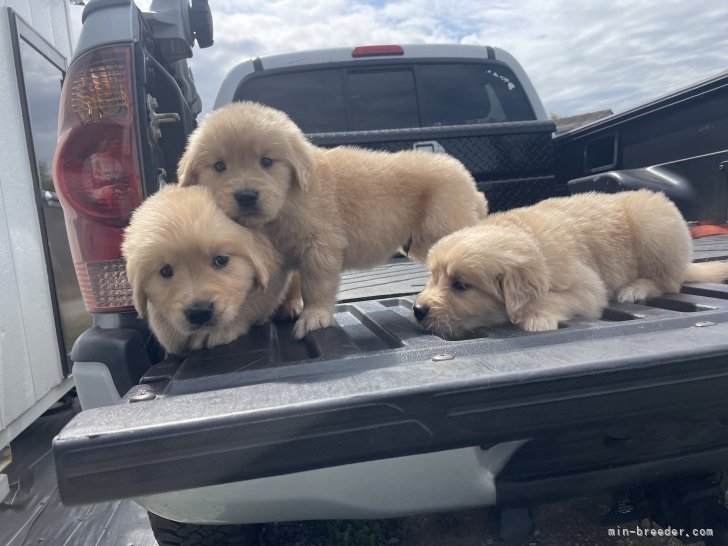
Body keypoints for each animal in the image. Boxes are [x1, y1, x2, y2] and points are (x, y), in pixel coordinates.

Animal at [178, 100, 490, 338]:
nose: (246, 196)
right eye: (219, 166)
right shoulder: (275, 259)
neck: (289, 201)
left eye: (266, 162)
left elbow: (316, 285)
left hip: (441, 226)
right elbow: (264, 294)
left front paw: (313, 317)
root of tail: (468, 182)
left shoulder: (320, 246)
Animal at [412, 189, 728, 338]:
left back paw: (636, 288)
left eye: (460, 285)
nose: (417, 310)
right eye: (432, 277)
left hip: (652, 224)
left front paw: (536, 315)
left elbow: (555, 299)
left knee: (669, 280)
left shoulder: (589, 287)